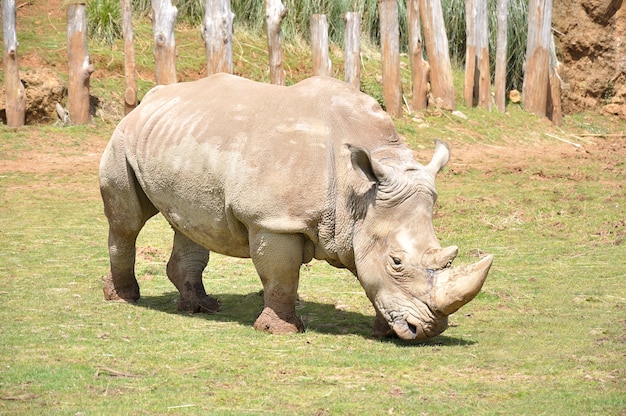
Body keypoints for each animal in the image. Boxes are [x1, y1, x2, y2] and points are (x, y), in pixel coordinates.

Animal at [98, 74, 492, 342]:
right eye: (396, 261)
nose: (427, 330)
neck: (357, 192)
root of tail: (150, 98)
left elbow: (369, 277)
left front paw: (384, 330)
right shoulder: (273, 220)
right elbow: (281, 276)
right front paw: (280, 330)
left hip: (184, 140)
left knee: (191, 221)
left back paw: (201, 307)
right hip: (122, 138)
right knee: (127, 221)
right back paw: (123, 299)